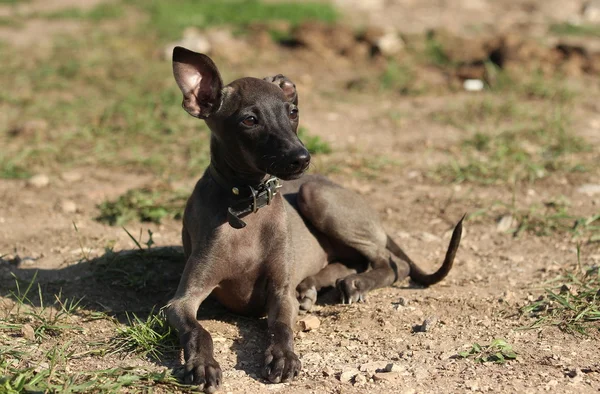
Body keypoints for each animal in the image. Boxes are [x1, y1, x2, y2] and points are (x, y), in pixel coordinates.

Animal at [165, 45, 464, 390]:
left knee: (393, 263)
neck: (248, 204)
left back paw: (353, 284)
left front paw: (283, 358)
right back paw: (316, 285)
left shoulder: (280, 292)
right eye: (250, 120)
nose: (301, 158)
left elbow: (281, 327)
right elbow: (198, 330)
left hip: (315, 196)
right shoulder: (182, 301)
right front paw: (202, 364)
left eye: (293, 112)